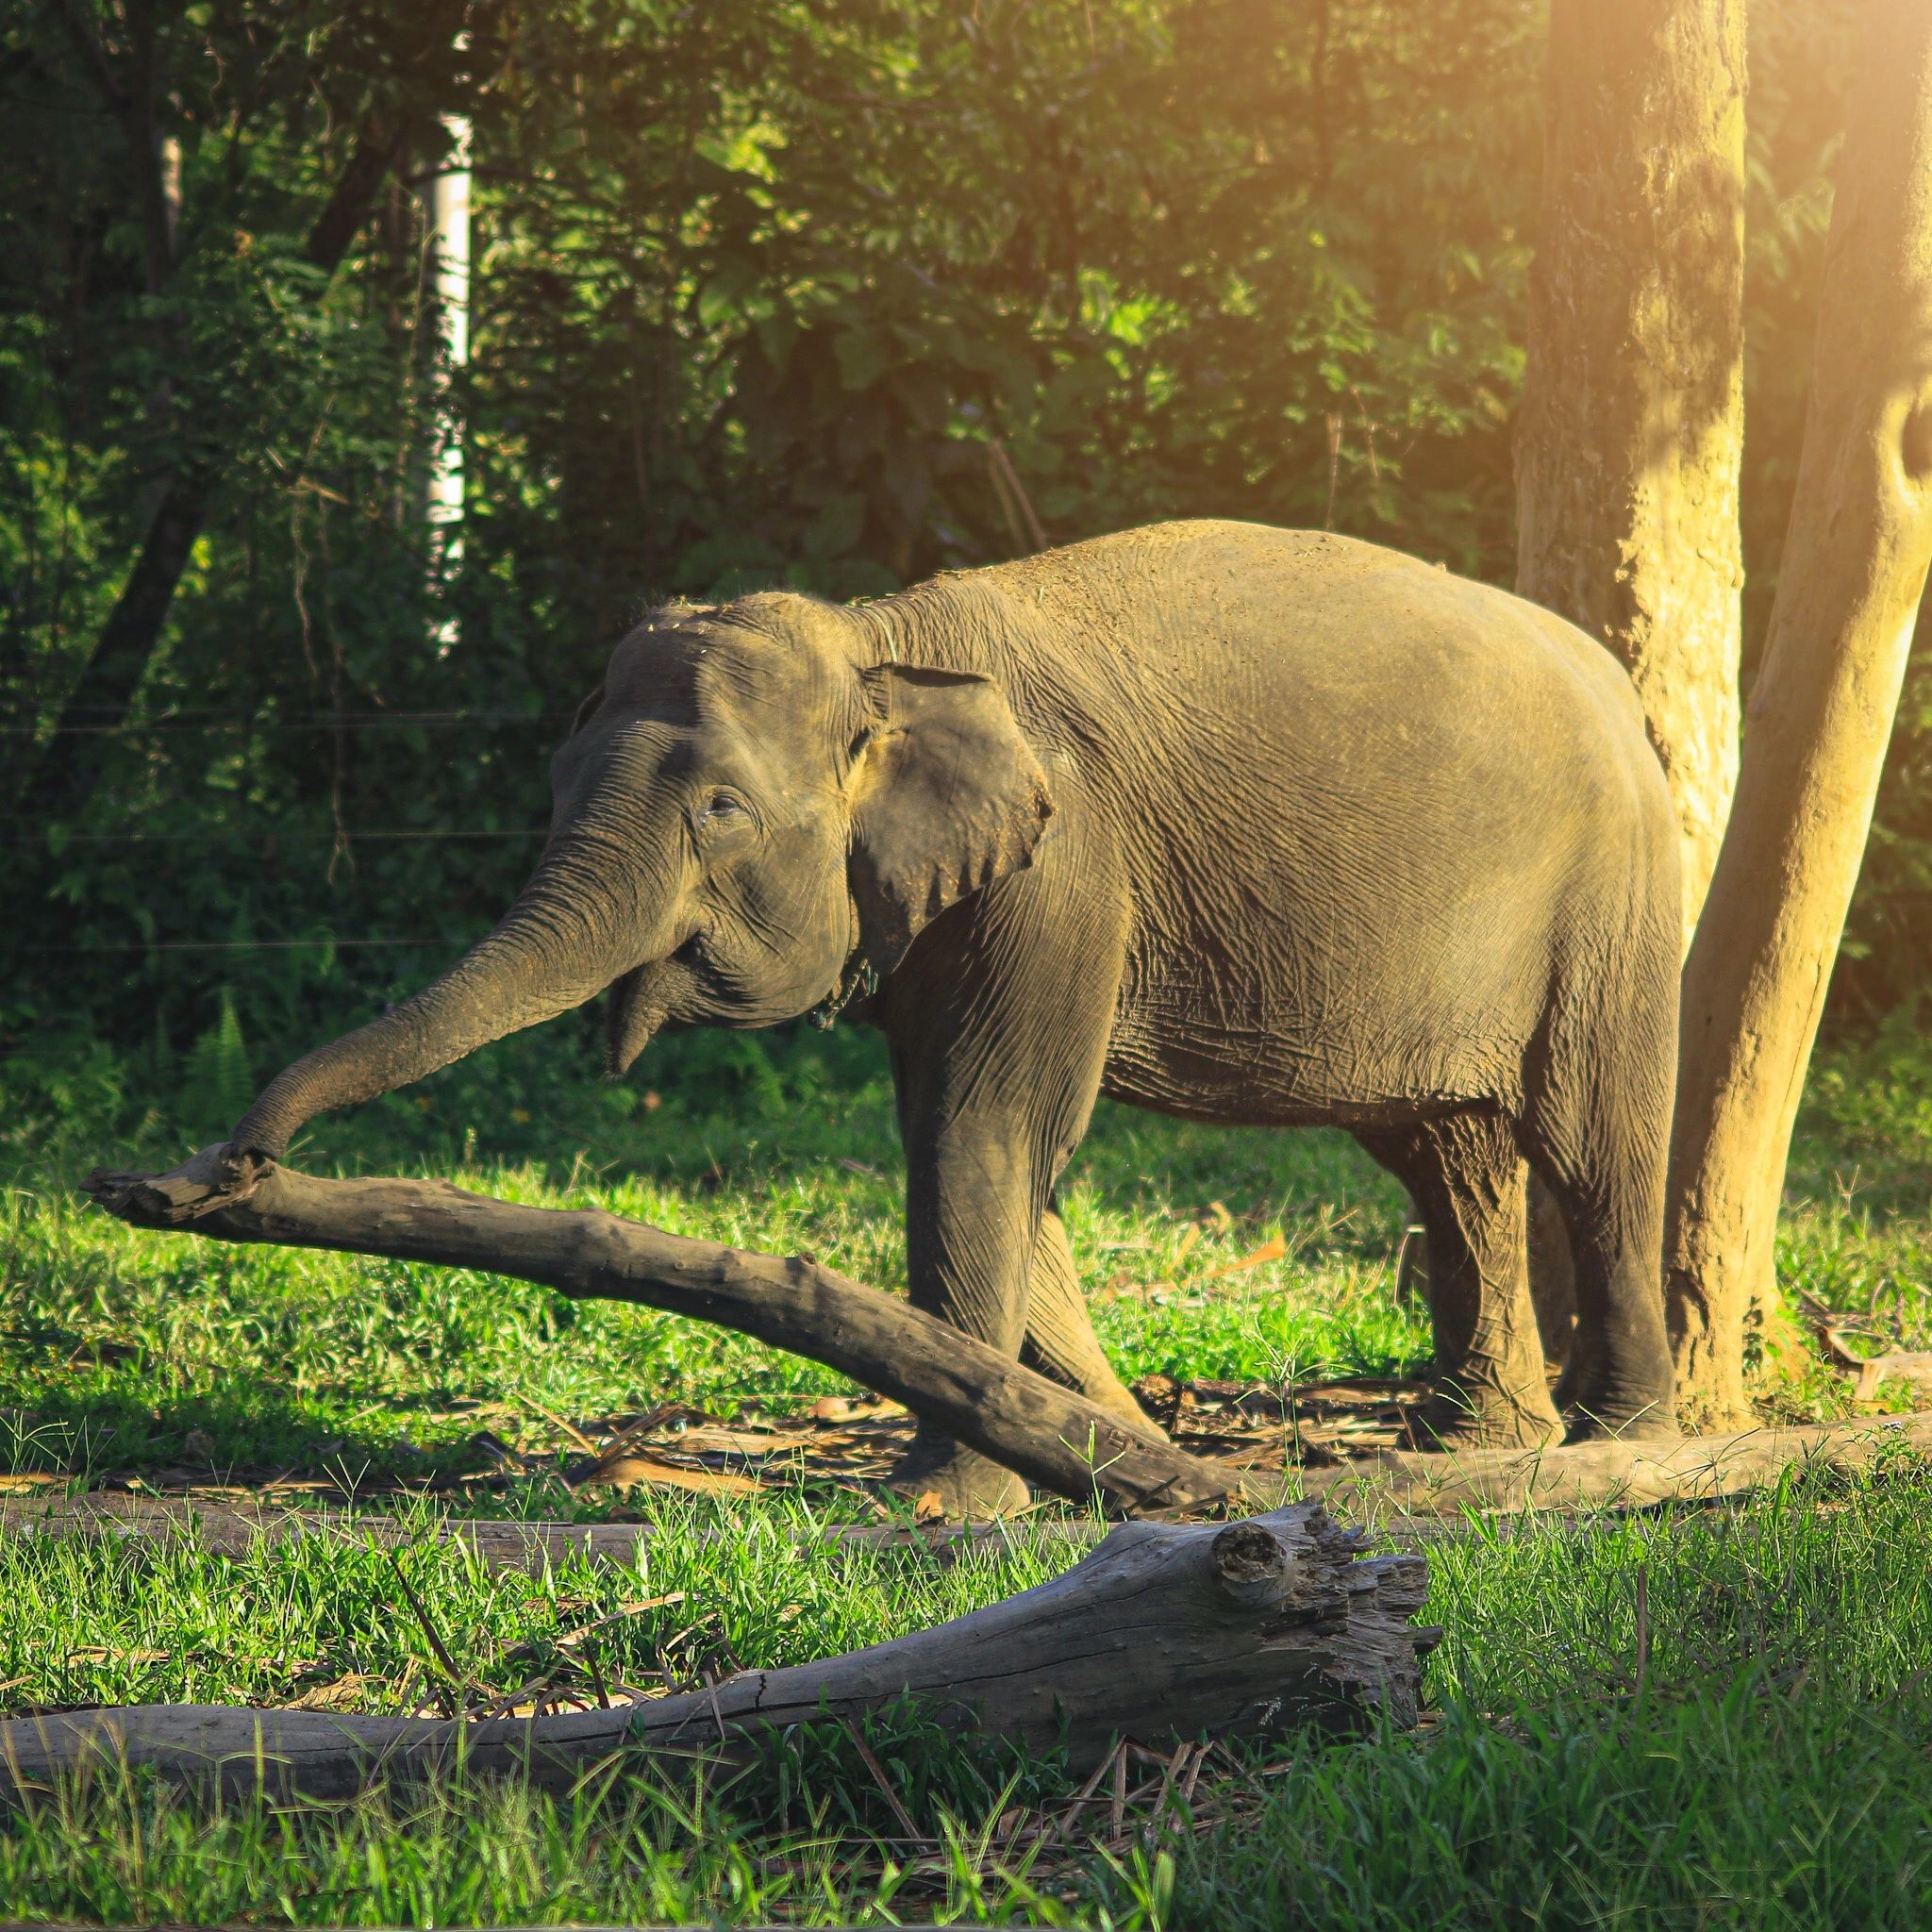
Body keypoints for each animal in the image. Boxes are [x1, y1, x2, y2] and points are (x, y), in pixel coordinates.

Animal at [228, 520, 1681, 1513]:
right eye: (551, 780)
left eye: (719, 811)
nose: (235, 1164)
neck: (883, 645)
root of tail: (1621, 691)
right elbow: (971, 1146)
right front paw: (1107, 1451)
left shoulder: (1063, 873)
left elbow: (983, 1136)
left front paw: (948, 1502)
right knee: (1449, 1158)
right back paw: (1479, 1439)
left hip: (1611, 901)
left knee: (1591, 1147)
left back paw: (1626, 1439)